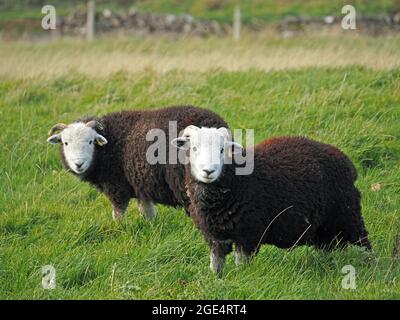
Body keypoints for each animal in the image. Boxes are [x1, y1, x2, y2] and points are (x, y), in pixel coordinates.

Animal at [46, 105, 227, 220]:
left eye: (90, 141)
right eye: (65, 143)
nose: (78, 164)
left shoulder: (116, 186)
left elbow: (118, 215)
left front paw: (119, 231)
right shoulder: (142, 187)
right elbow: (148, 213)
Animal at [172, 126, 372, 274]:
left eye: (222, 150)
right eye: (194, 148)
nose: (208, 171)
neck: (236, 182)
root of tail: (346, 162)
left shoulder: (249, 235)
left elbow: (242, 267)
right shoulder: (215, 238)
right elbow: (216, 267)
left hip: (348, 215)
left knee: (364, 243)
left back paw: (372, 266)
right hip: (325, 227)